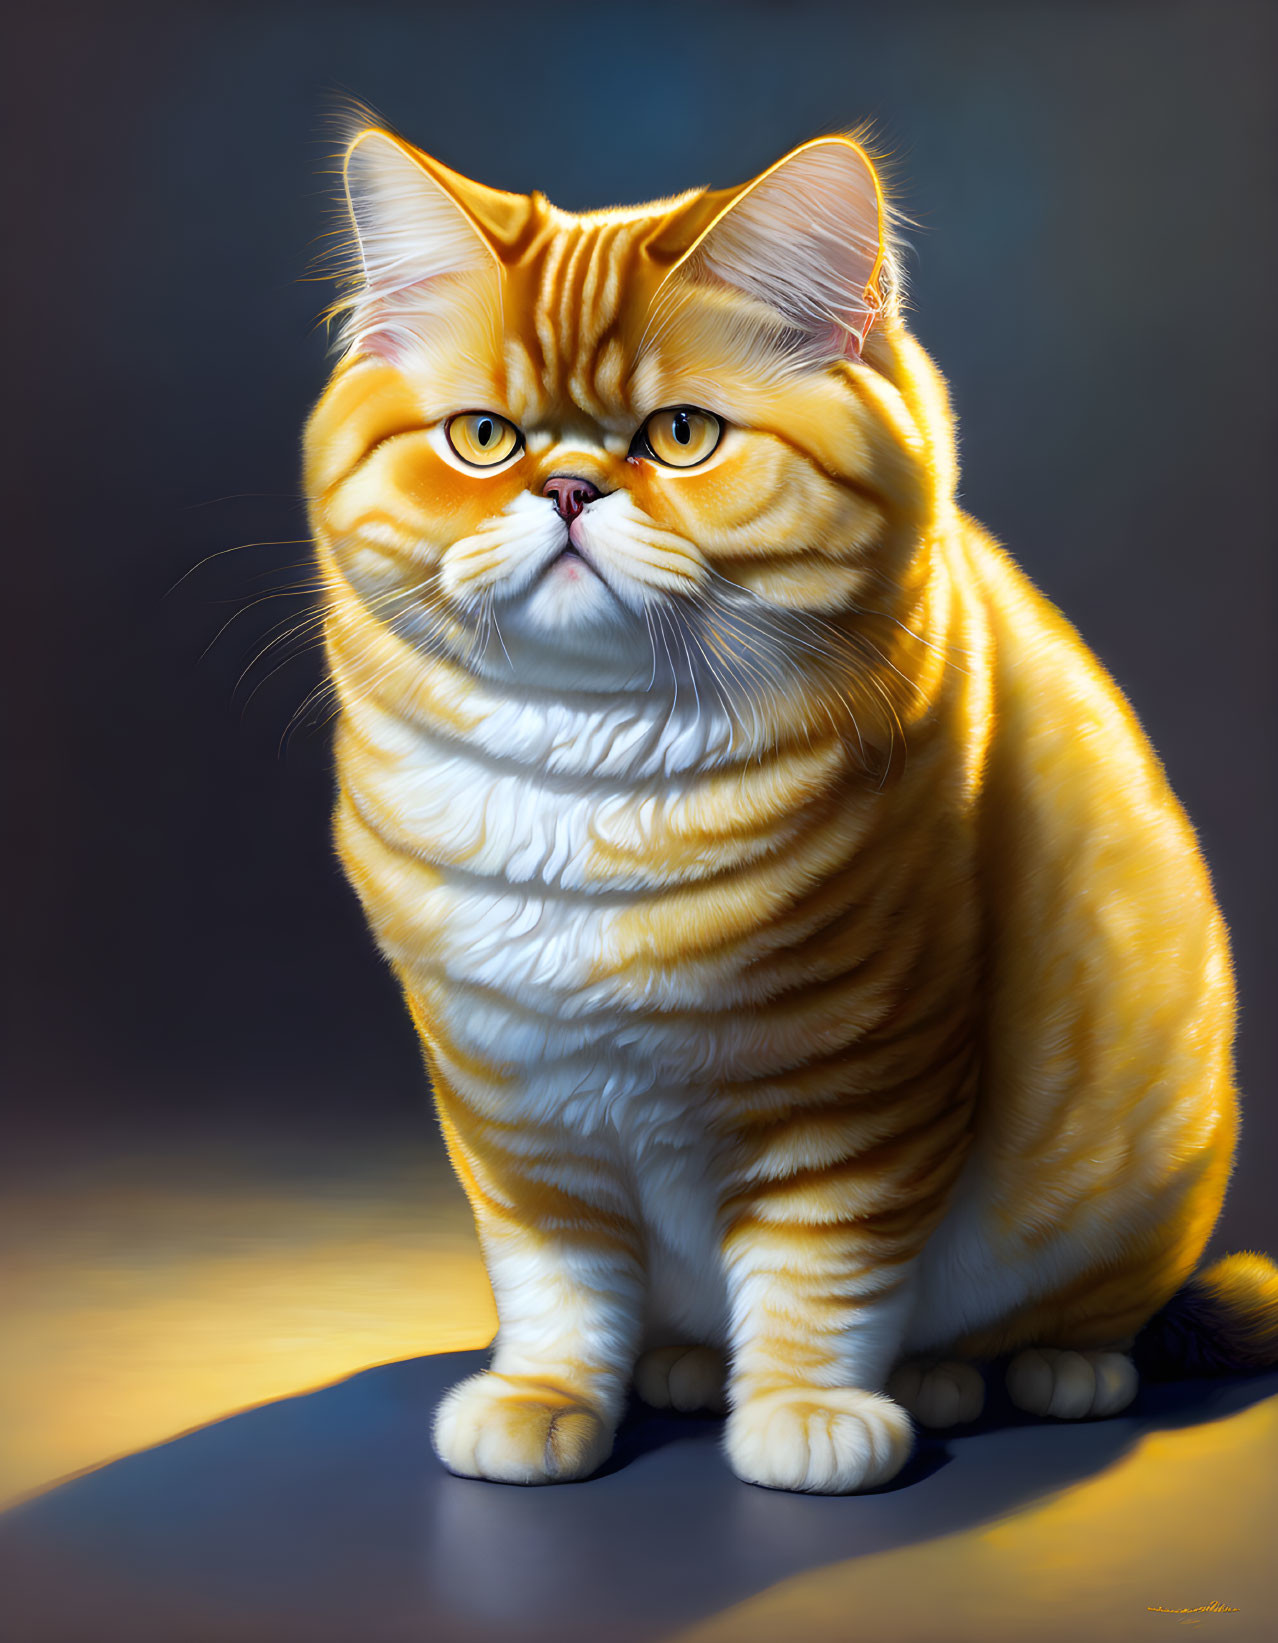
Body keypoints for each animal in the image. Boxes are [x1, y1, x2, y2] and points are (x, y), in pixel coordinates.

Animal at [300, 121, 1274, 1498]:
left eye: (682, 434)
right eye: (485, 437)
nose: (570, 489)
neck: (586, 783)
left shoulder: (859, 1088)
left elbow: (822, 1271)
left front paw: (807, 1414)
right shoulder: (512, 1105)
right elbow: (557, 1277)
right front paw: (547, 1400)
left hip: (1143, 1167)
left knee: (1072, 1315)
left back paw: (1005, 1373)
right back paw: (690, 1365)